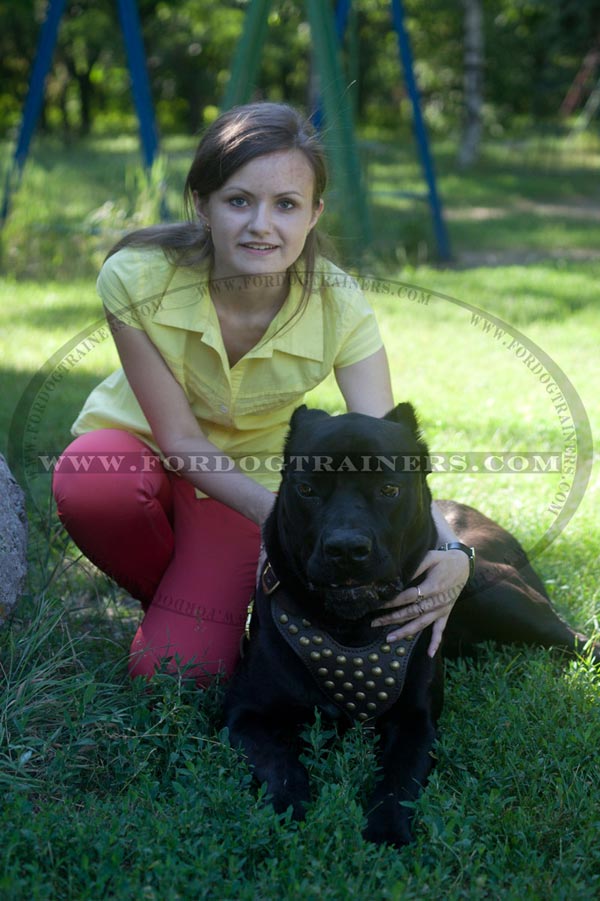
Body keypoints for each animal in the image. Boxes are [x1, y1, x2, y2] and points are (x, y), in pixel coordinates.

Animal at [223, 404, 596, 848]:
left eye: (389, 489)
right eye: (308, 490)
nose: (346, 549)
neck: (352, 629)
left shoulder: (416, 719)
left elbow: (400, 777)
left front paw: (386, 829)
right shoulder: (245, 714)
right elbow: (278, 765)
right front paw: (289, 814)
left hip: (497, 597)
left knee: (576, 638)